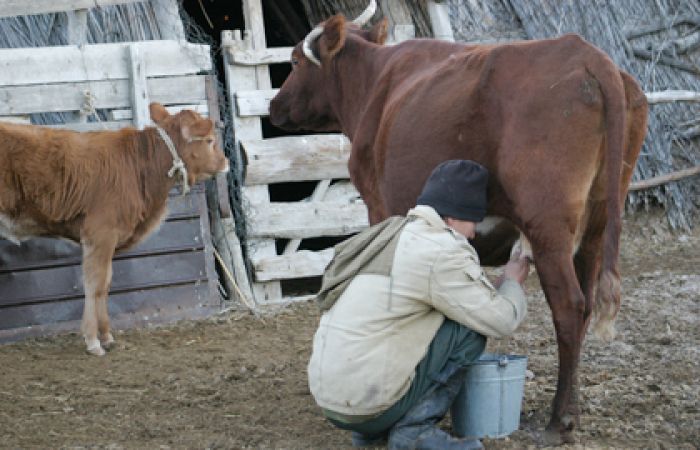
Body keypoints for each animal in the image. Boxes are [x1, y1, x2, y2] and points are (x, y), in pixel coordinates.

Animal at [0, 103, 230, 356]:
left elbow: (106, 284)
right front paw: (93, 341)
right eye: (209, 140)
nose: (226, 162)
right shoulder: (100, 235)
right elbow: (95, 285)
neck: (139, 166)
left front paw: (107, 336)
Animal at [270, 5, 652, 444]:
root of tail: (590, 55)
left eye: (294, 61)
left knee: (569, 308)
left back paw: (560, 419)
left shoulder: (379, 206)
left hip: (549, 228)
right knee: (586, 305)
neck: (374, 85)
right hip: (596, 227)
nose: (274, 106)